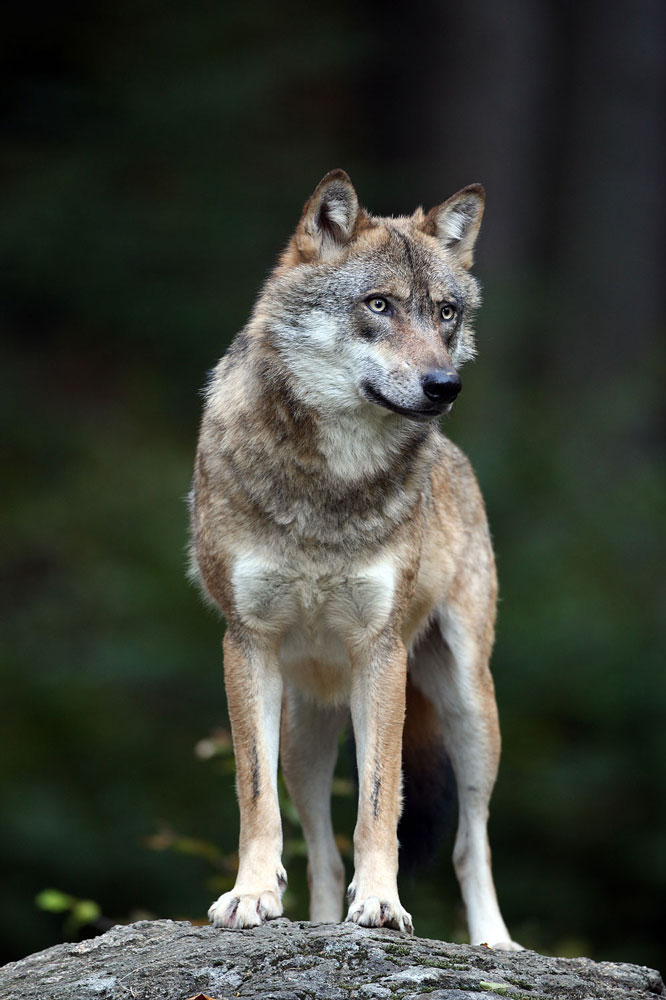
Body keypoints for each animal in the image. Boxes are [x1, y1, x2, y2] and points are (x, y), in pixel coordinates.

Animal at [188, 168, 520, 948]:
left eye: (446, 313)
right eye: (379, 305)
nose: (444, 386)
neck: (329, 485)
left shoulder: (382, 651)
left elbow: (380, 803)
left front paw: (382, 905)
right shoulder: (246, 644)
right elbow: (255, 800)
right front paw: (250, 896)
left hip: (469, 705)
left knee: (472, 841)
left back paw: (494, 942)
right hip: (304, 732)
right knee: (319, 849)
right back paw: (308, 917)